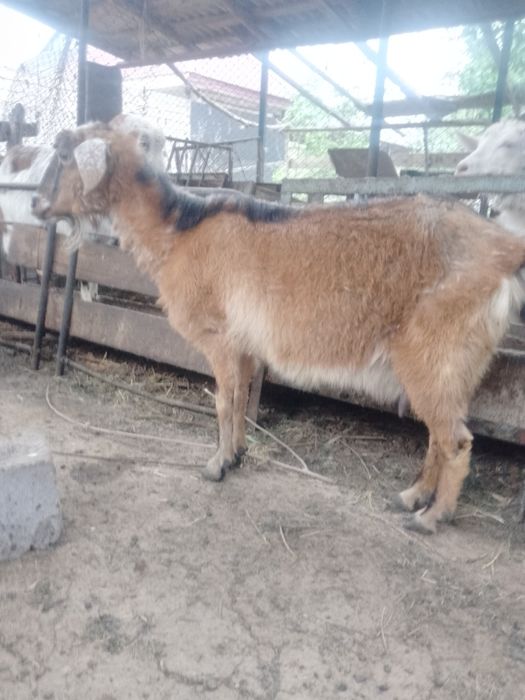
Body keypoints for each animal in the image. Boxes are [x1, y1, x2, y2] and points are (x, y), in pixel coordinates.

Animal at [32, 124, 525, 535]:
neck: (180, 230)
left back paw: (431, 517)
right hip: (453, 365)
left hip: (435, 352)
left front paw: (216, 465)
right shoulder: (245, 347)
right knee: (439, 434)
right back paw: (411, 496)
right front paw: (238, 454)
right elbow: (239, 400)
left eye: (63, 153)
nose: (36, 204)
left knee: (456, 440)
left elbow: (223, 403)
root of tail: (502, 248)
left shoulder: (220, 337)